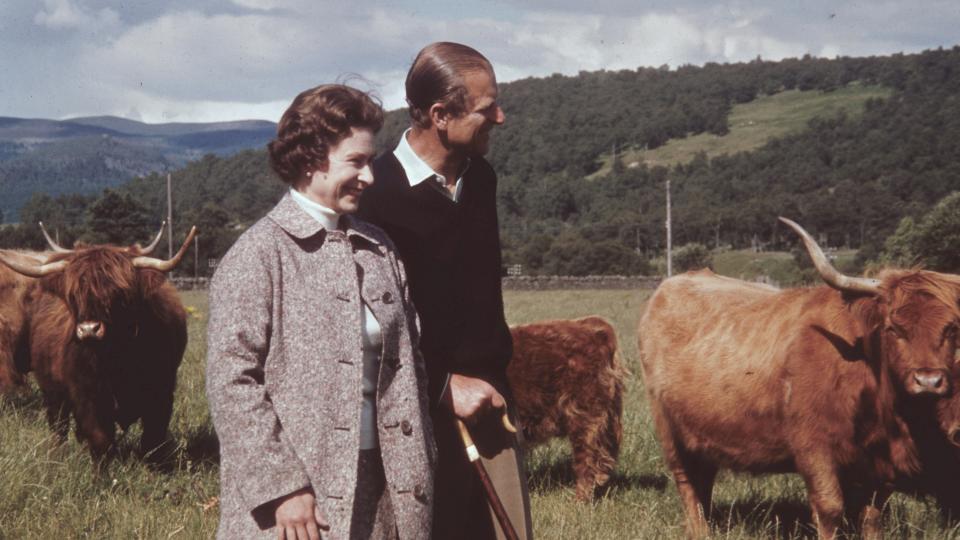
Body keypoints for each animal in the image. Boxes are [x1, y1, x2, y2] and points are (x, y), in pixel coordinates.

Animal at [0, 228, 195, 464]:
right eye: (73, 295)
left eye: (119, 293)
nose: (88, 330)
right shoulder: (88, 394)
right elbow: (100, 437)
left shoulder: (162, 391)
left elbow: (153, 439)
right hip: (51, 389)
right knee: (58, 424)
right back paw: (57, 456)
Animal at [636, 217, 960, 536]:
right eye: (893, 328)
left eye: (952, 328)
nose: (928, 381)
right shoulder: (813, 447)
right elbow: (830, 508)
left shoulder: (880, 463)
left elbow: (871, 516)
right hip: (670, 430)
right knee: (687, 482)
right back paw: (699, 530)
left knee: (704, 479)